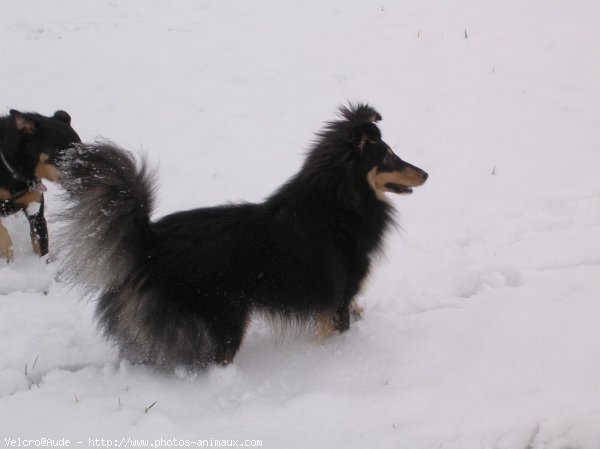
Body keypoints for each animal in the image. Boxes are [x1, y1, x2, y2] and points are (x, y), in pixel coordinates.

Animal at [58, 103, 428, 370]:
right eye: (389, 157)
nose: (426, 173)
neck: (340, 202)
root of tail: (149, 243)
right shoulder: (337, 299)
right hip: (225, 321)